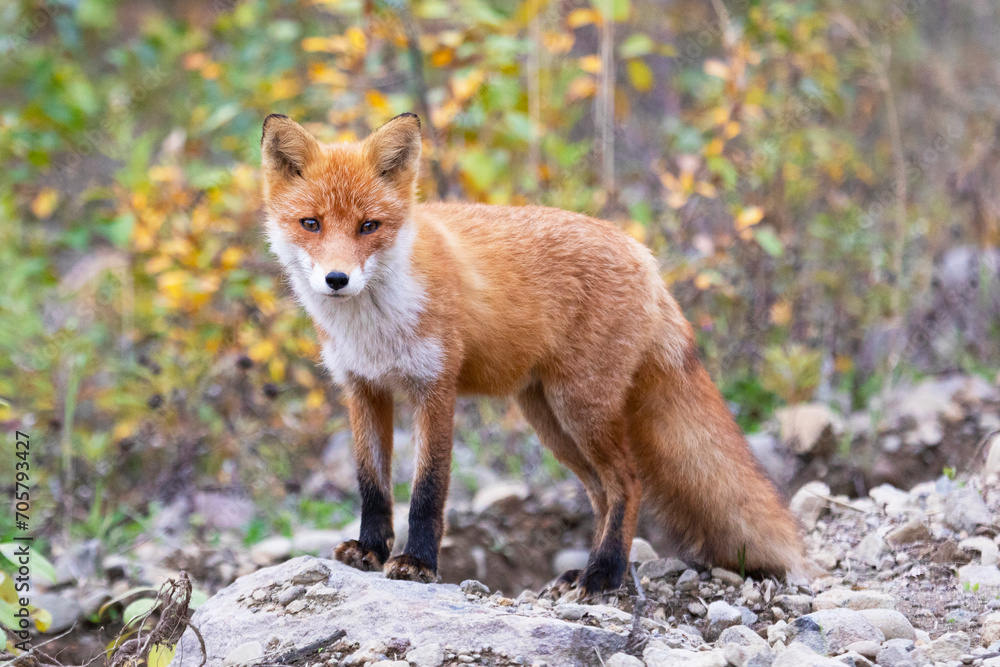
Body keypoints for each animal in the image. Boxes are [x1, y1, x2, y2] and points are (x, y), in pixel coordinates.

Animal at [262, 111, 808, 596]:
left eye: (369, 226)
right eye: (311, 223)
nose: (337, 279)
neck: (372, 327)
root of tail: (642, 253)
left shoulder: (435, 389)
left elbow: (428, 492)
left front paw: (418, 563)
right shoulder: (364, 389)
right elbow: (372, 486)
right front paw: (370, 551)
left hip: (580, 408)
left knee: (628, 483)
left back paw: (605, 573)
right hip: (549, 420)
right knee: (600, 493)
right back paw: (586, 567)